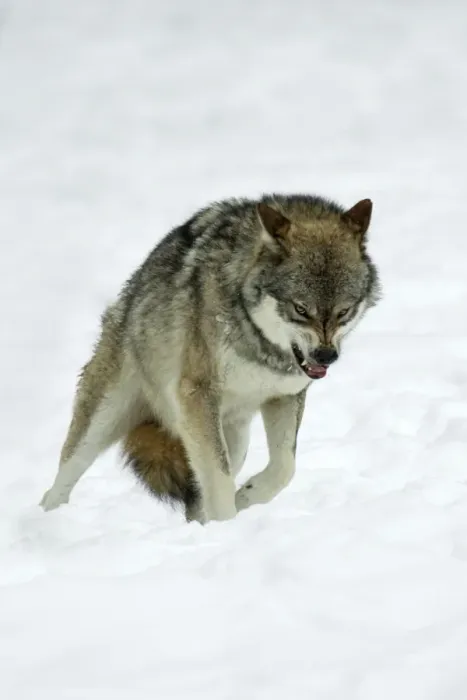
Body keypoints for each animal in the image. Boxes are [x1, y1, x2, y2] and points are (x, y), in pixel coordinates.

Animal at [40, 194, 381, 523]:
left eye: (344, 311)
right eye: (300, 309)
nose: (326, 356)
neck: (259, 341)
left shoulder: (285, 396)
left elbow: (284, 468)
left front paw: (246, 497)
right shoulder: (197, 395)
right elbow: (220, 480)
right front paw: (229, 523)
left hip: (234, 439)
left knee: (200, 495)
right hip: (104, 421)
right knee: (59, 482)